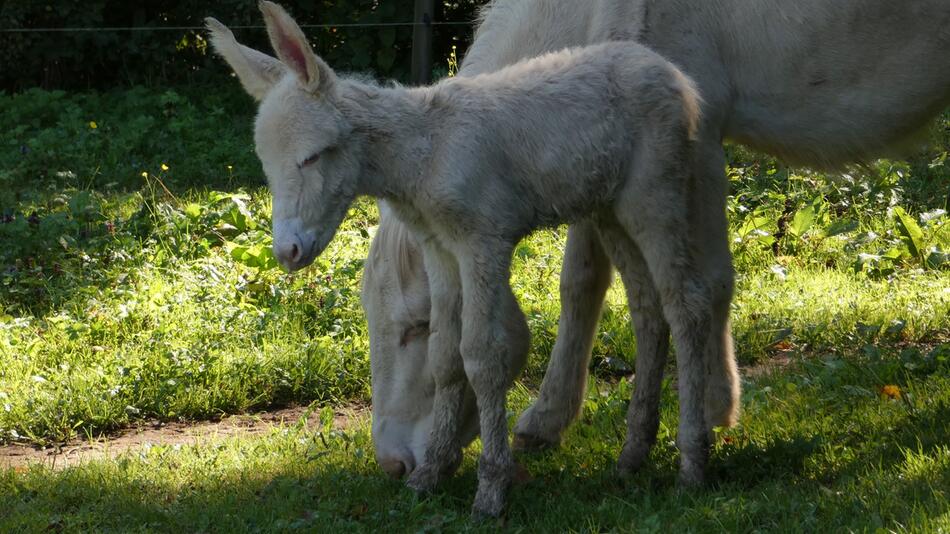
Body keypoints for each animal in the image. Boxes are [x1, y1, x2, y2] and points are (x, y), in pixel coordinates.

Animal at [212, 0, 712, 520]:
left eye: (312, 157)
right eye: (267, 167)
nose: (286, 253)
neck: (425, 151)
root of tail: (674, 76)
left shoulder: (482, 243)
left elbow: (483, 356)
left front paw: (491, 490)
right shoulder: (441, 250)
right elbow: (446, 357)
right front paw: (430, 476)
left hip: (655, 194)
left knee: (687, 305)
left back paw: (692, 464)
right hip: (610, 209)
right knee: (648, 311)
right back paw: (633, 455)